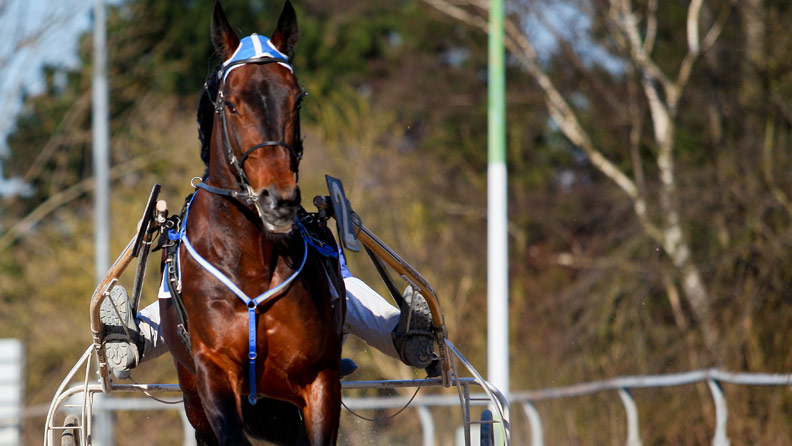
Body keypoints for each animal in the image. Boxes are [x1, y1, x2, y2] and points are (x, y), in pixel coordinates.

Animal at [159, 2, 344, 444]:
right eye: (231, 103)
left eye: (296, 100)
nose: (278, 199)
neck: (251, 263)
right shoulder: (213, 370)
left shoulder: (320, 378)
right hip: (195, 397)